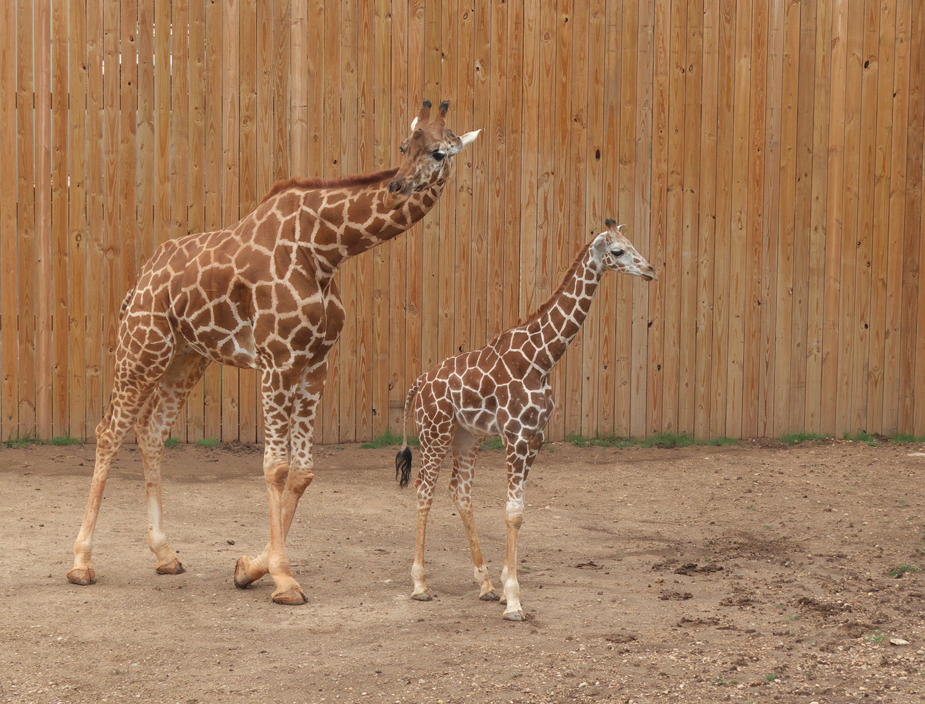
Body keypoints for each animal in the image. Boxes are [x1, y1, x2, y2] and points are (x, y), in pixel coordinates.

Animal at [68, 100, 480, 604]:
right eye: (405, 146)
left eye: (440, 151)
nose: (398, 186)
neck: (325, 250)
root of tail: (139, 282)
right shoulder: (277, 360)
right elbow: (276, 469)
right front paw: (283, 579)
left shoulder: (315, 363)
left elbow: (302, 473)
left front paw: (249, 567)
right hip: (142, 348)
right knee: (109, 431)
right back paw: (81, 563)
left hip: (186, 357)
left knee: (150, 432)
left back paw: (165, 554)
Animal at [398, 217, 656, 620]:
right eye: (617, 251)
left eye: (632, 245)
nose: (650, 270)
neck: (542, 358)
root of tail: (420, 383)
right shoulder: (516, 436)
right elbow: (513, 512)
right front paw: (515, 601)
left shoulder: (535, 437)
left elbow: (518, 511)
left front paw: (504, 589)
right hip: (434, 430)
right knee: (425, 490)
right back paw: (421, 585)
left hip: (466, 435)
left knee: (460, 491)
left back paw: (485, 585)